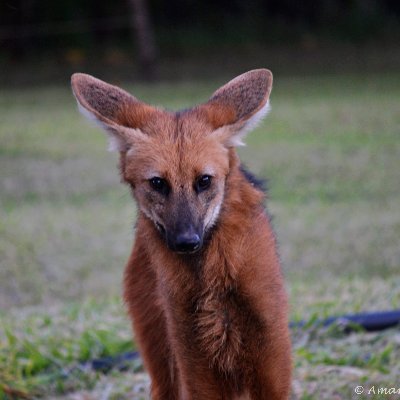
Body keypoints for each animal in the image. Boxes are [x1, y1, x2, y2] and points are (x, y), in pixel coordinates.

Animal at [71, 70, 290, 398]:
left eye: (204, 181)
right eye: (158, 183)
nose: (186, 241)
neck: (212, 278)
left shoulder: (269, 360)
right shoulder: (194, 361)